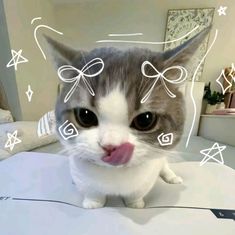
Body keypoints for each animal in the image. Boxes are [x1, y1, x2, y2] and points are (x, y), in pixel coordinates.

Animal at [45, 27, 209, 209]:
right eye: (85, 116)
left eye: (145, 119)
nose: (111, 146)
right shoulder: (80, 171)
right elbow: (91, 190)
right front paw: (93, 203)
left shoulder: (148, 174)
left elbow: (137, 192)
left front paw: (135, 204)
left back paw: (171, 176)